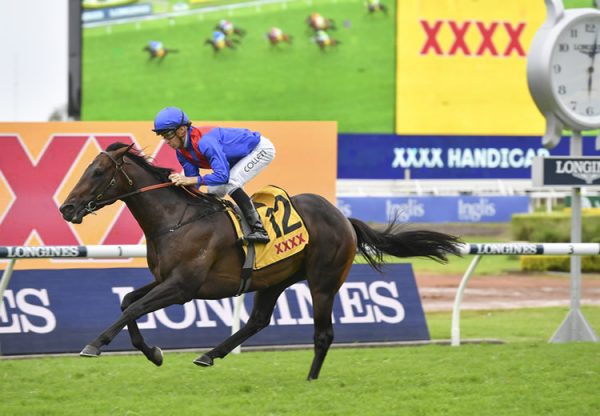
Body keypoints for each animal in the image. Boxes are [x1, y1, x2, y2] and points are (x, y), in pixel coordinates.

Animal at [59, 143, 460, 380]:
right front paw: (153, 353)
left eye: (97, 172)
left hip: (324, 281)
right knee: (258, 321)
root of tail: (344, 218)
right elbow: (129, 301)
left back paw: (310, 379)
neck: (176, 219)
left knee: (323, 333)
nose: (66, 208)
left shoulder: (183, 286)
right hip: (273, 279)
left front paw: (95, 344)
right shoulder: (165, 279)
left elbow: (133, 307)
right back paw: (210, 355)